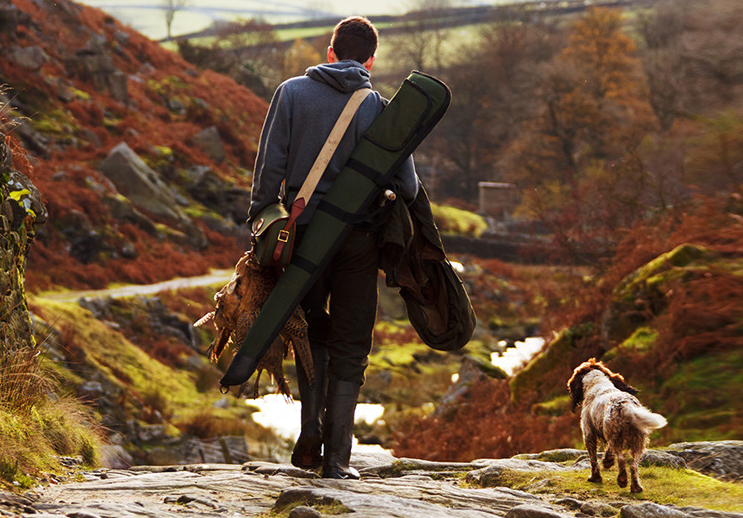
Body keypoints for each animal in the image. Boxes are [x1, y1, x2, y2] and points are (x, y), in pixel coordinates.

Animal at [568, 360, 668, 494]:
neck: (597, 382)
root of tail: (626, 405)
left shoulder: (589, 434)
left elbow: (593, 459)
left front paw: (595, 477)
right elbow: (608, 452)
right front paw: (607, 462)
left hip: (616, 437)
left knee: (621, 459)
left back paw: (622, 480)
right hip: (637, 440)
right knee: (633, 465)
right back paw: (636, 487)